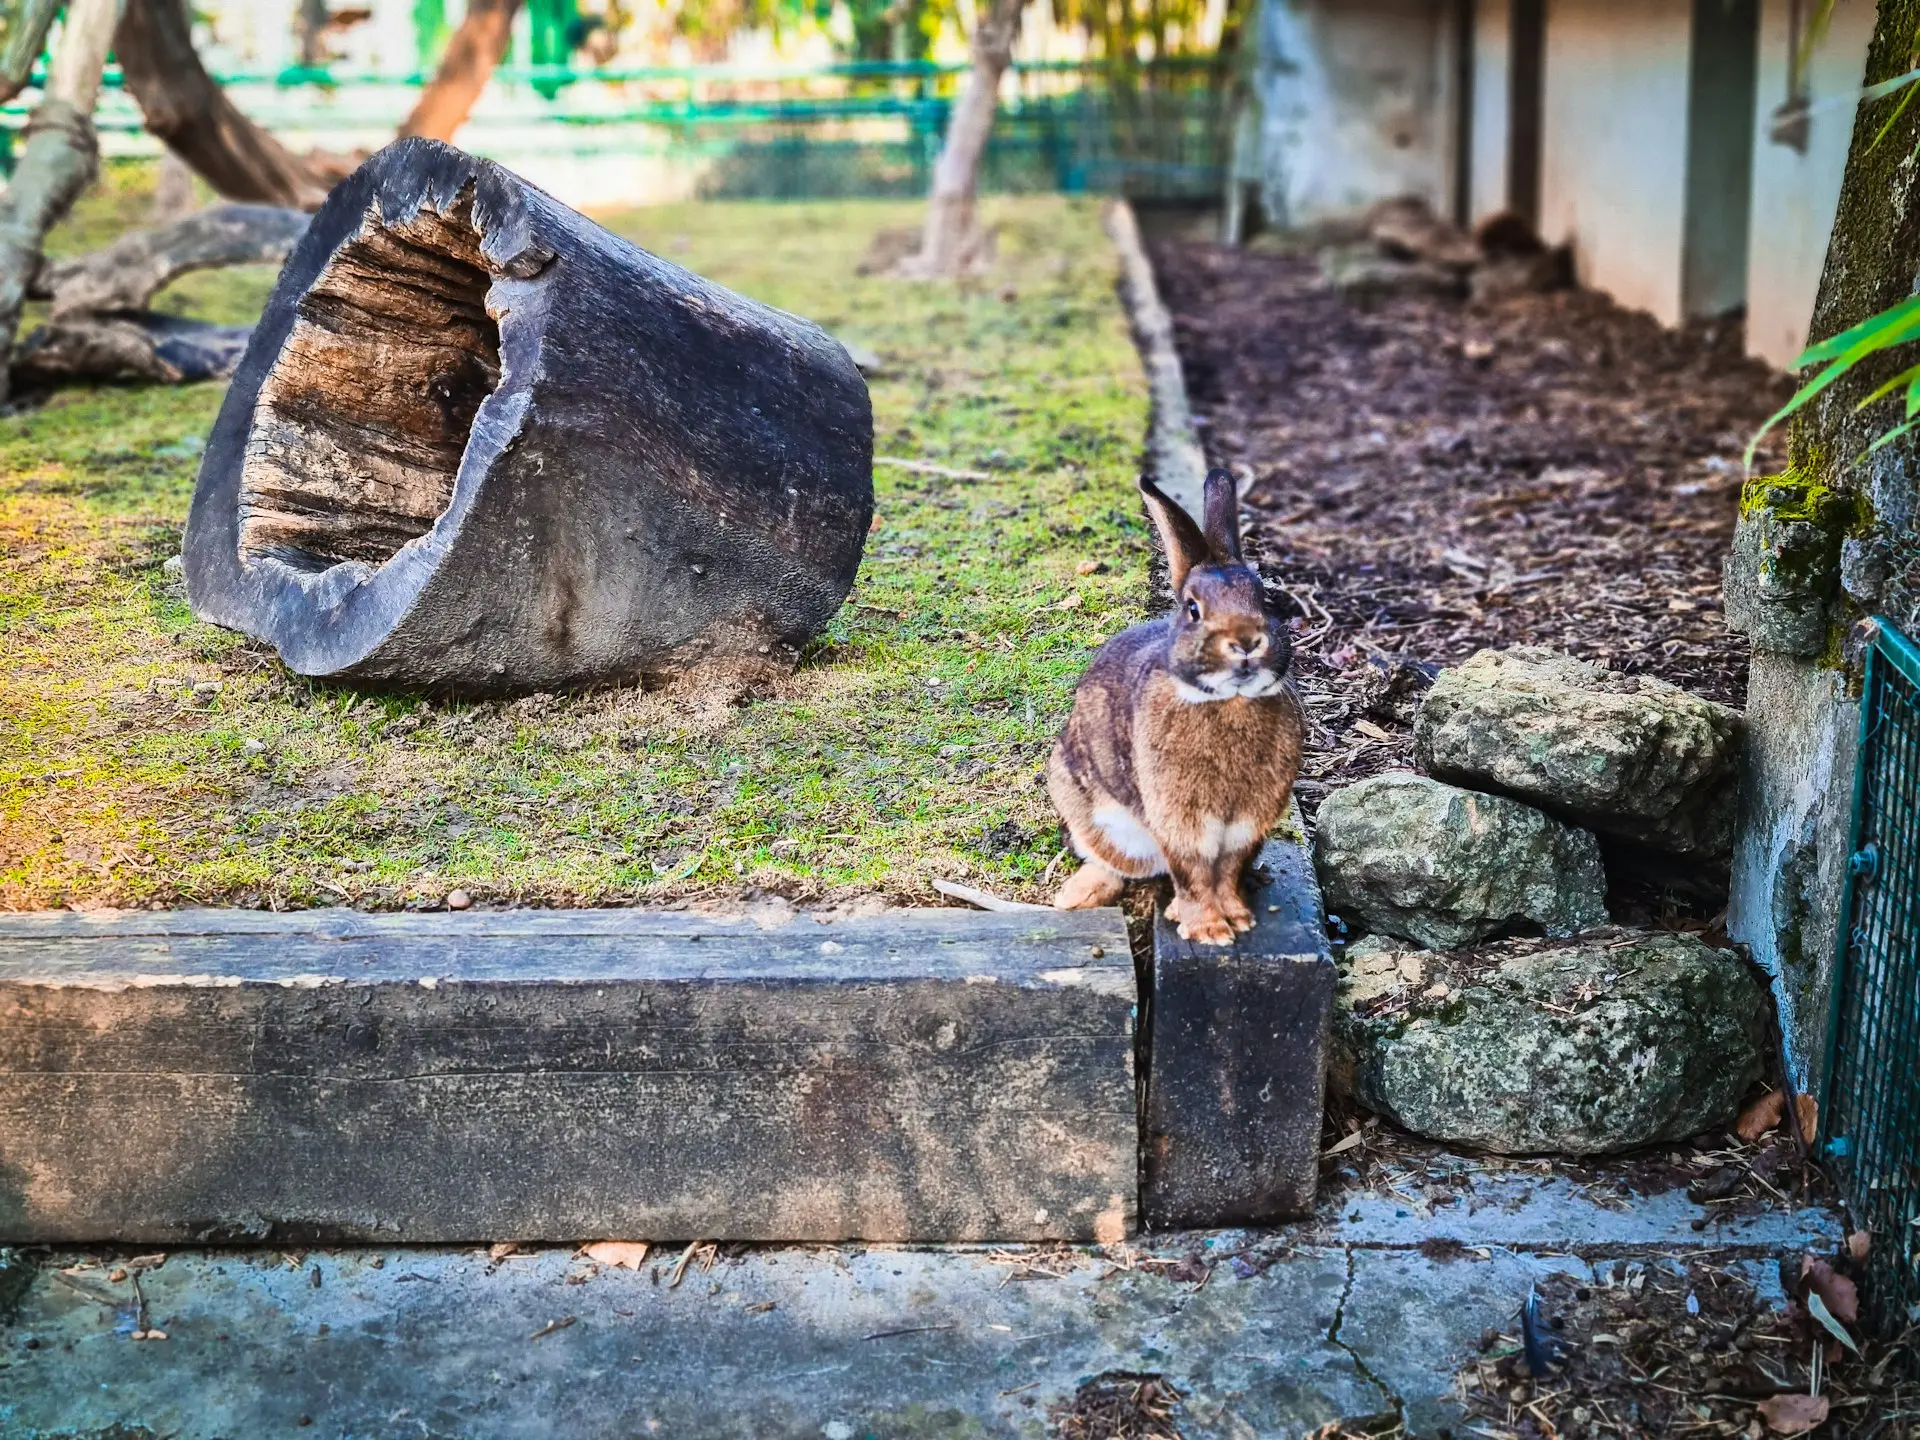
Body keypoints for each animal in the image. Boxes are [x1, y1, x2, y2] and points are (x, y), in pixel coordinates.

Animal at [1052, 470, 1305, 948]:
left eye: (1264, 601)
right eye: (1193, 609)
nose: (1246, 642)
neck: (1227, 701)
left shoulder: (1246, 826)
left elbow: (1226, 873)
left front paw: (1237, 918)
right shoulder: (1179, 821)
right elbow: (1193, 875)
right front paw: (1210, 931)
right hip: (1084, 804)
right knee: (1115, 863)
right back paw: (1077, 896)